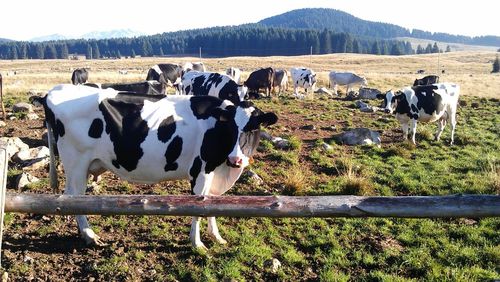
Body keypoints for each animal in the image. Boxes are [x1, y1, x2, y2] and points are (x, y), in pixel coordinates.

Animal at [34, 84, 278, 249]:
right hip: (76, 163)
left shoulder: (213, 174)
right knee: (75, 196)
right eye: (231, 128)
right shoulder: (200, 171)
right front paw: (197, 243)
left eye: (255, 127)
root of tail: (54, 91)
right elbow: (199, 208)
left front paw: (216, 236)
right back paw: (89, 235)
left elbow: (212, 205)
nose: (236, 159)